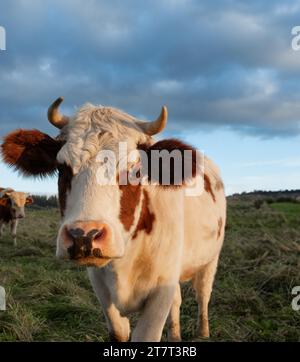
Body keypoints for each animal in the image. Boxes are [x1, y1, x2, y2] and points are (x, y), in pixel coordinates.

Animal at [0, 97, 226, 340]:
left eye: (135, 169)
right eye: (62, 167)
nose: (83, 235)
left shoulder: (160, 291)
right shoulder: (101, 285)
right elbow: (119, 331)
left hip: (210, 259)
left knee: (203, 294)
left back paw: (203, 332)